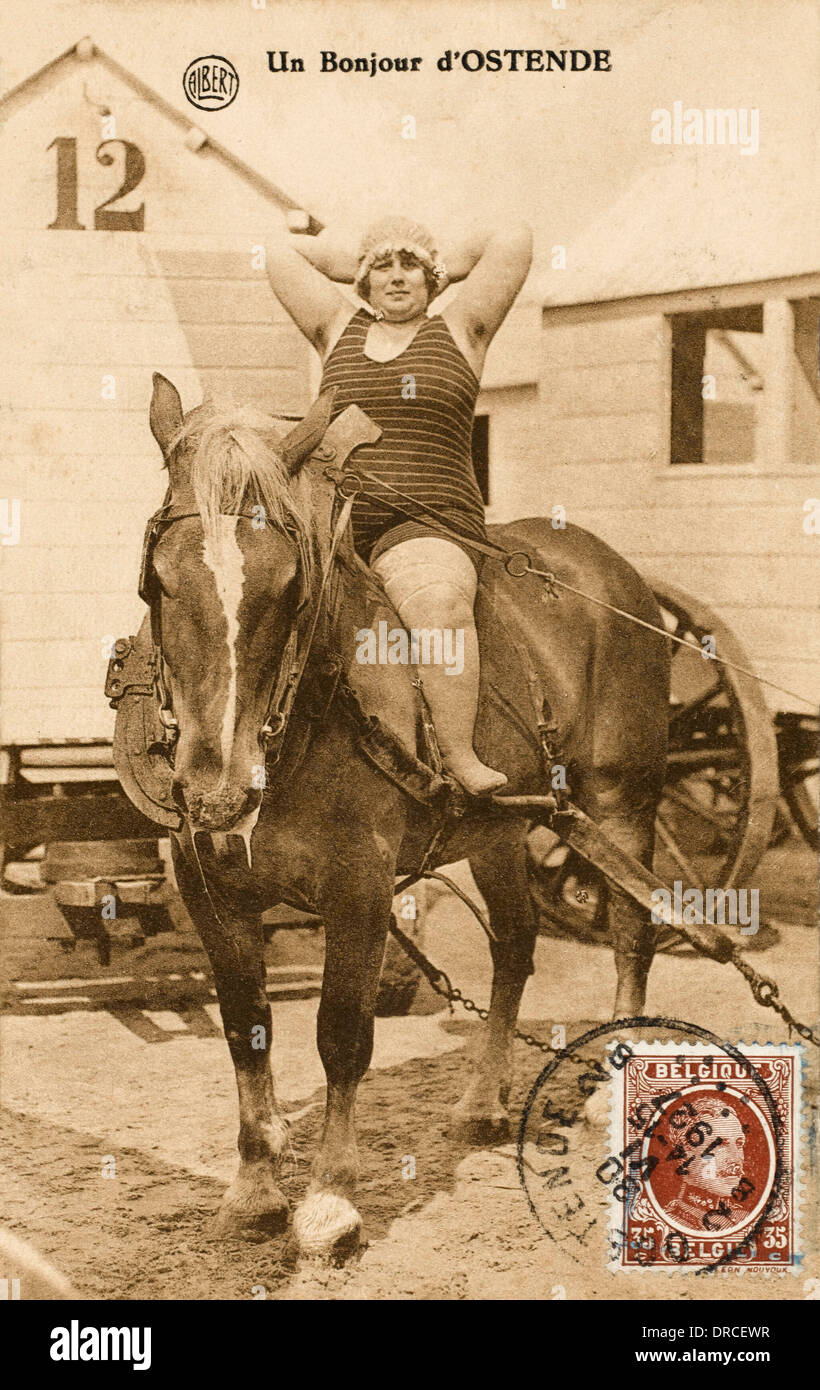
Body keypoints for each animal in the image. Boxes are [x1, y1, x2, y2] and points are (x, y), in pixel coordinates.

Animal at [143, 375, 667, 1267]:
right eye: (160, 581)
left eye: (289, 588)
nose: (216, 791)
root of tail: (608, 573)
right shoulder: (211, 885)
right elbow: (247, 1026)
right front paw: (254, 1190)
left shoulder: (360, 885)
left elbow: (341, 1034)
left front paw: (330, 1202)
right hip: (498, 831)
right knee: (515, 943)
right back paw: (484, 1099)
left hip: (618, 804)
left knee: (632, 930)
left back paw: (611, 1079)